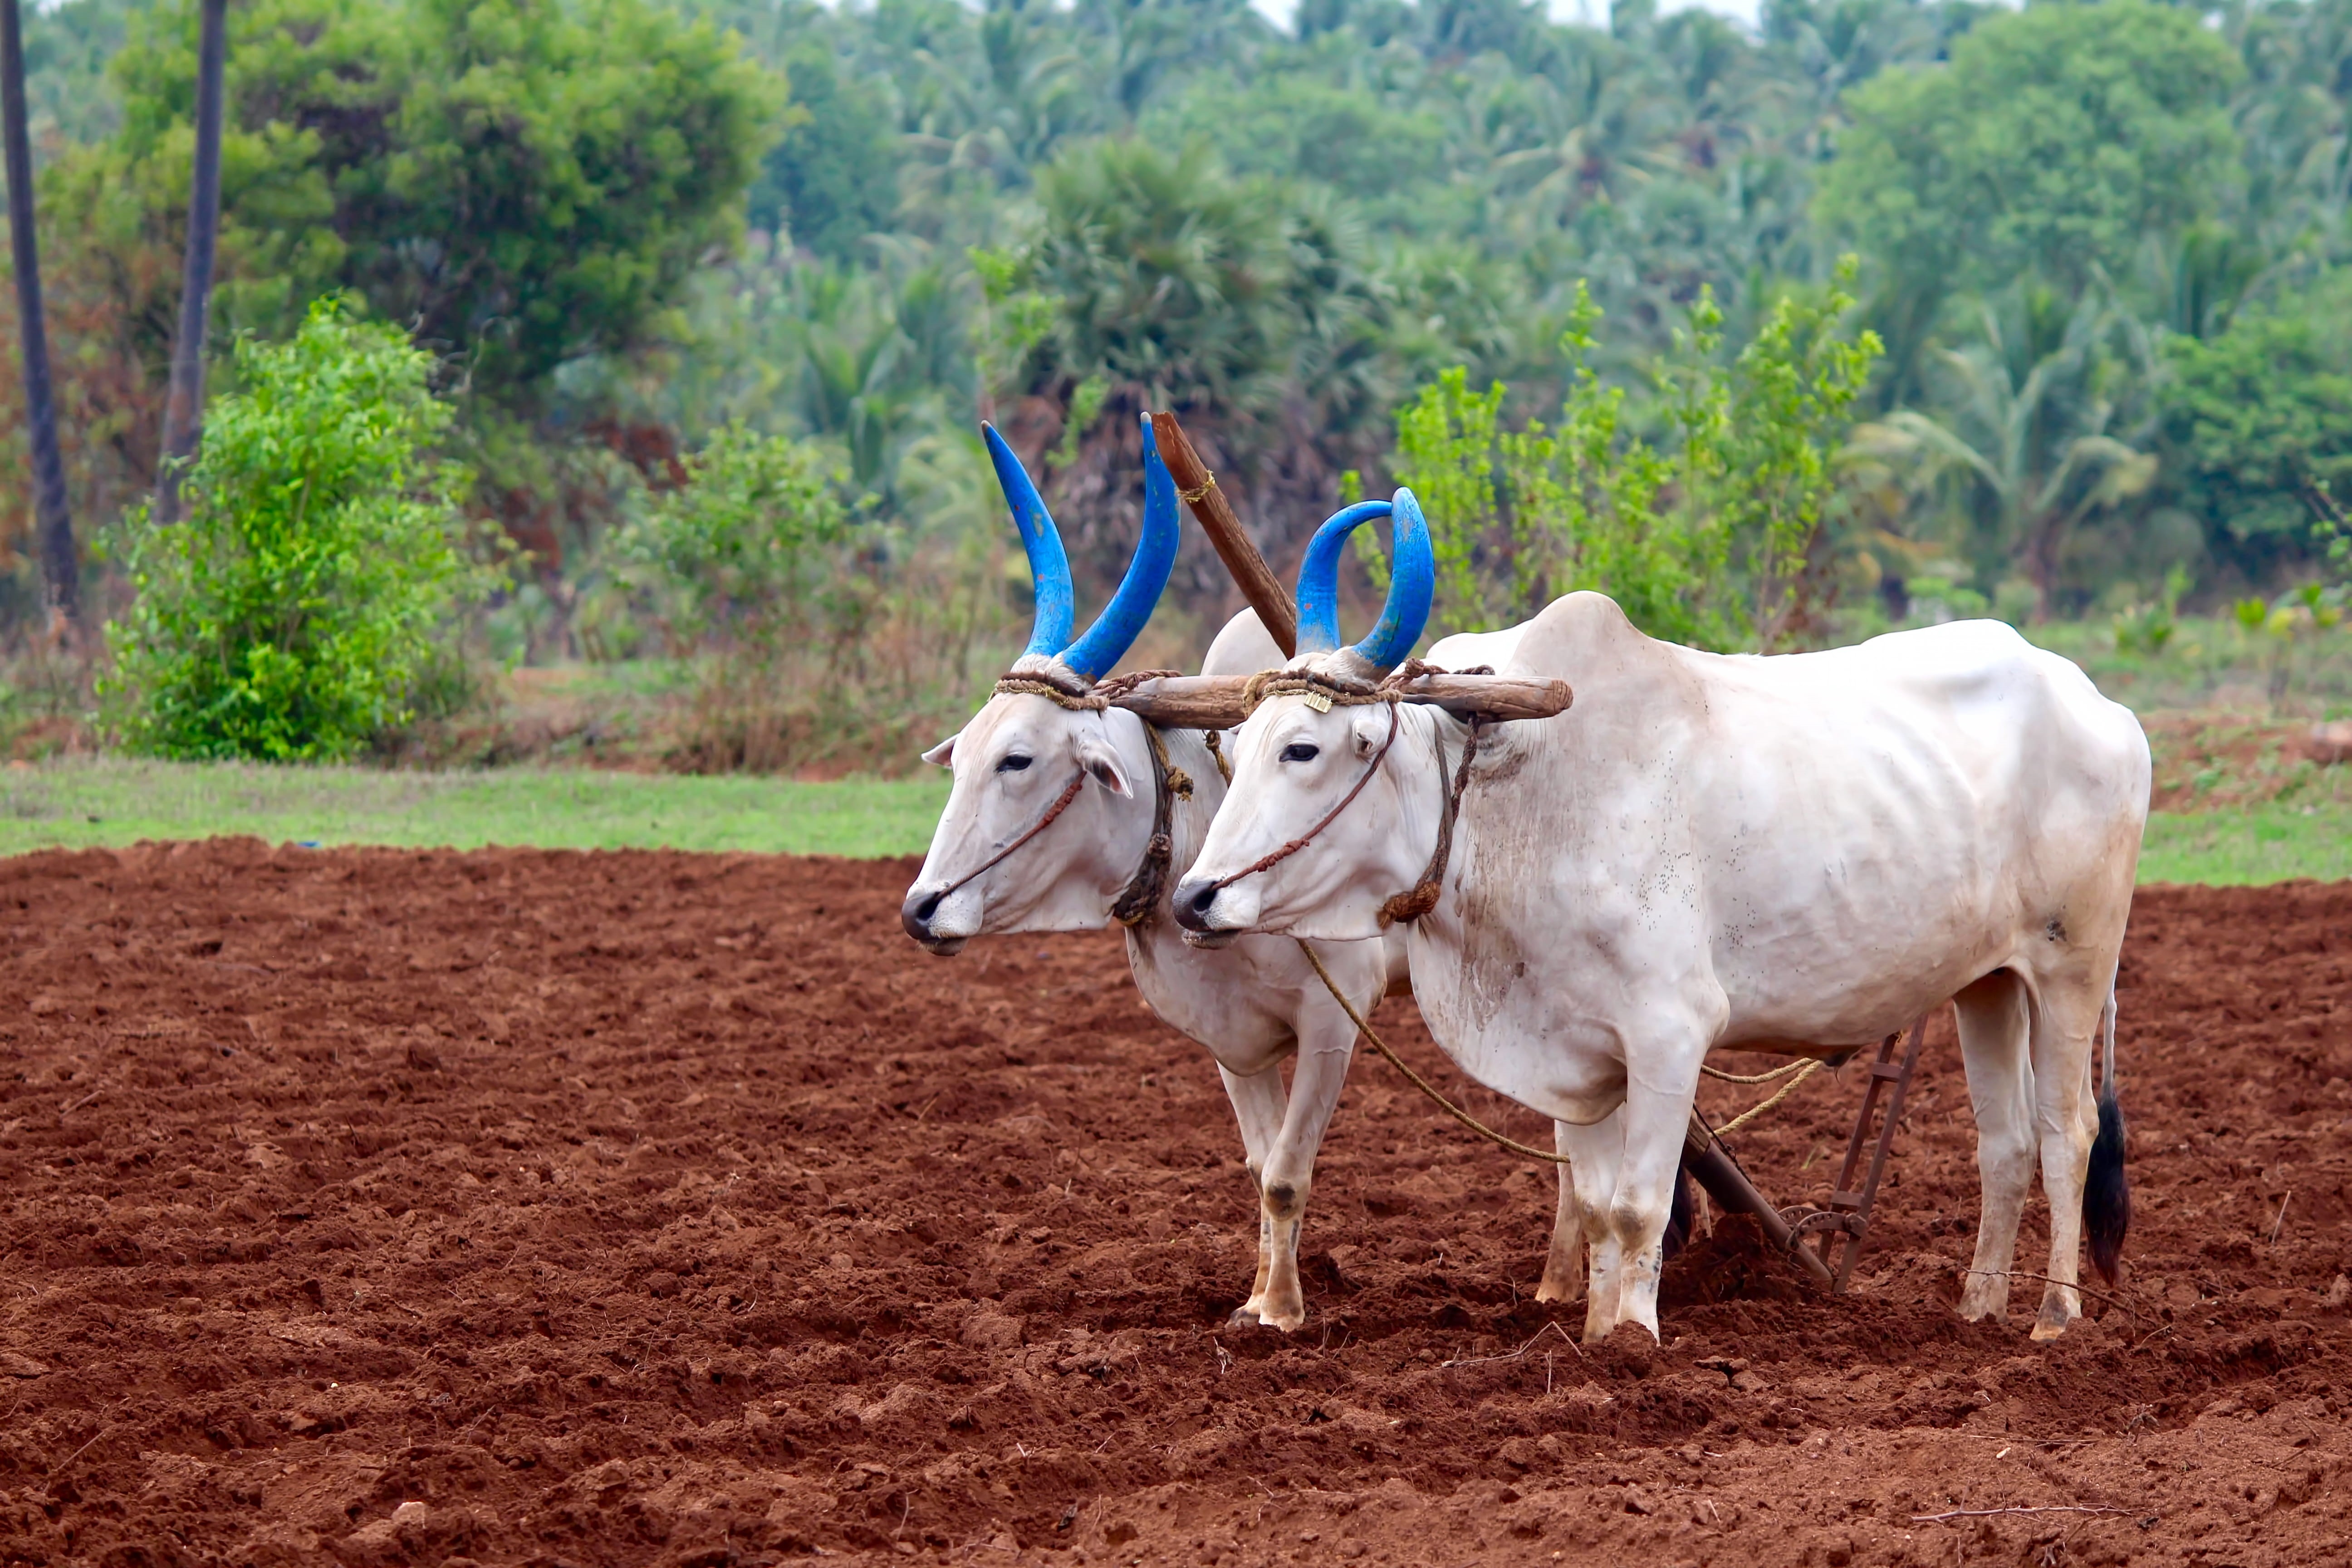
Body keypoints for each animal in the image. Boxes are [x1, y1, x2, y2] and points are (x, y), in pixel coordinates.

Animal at [1171, 489, 2149, 1343]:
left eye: (1304, 748)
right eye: (1235, 747)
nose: (1193, 898)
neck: (1516, 791)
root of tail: (2101, 704)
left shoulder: (1670, 1032)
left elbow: (1640, 1207)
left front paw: (1636, 1341)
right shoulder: (1577, 1053)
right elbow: (1598, 1211)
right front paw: (1597, 1331)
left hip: (2072, 968)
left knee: (2065, 1134)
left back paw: (2053, 1318)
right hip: (1989, 983)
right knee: (2004, 1144)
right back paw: (1977, 1309)